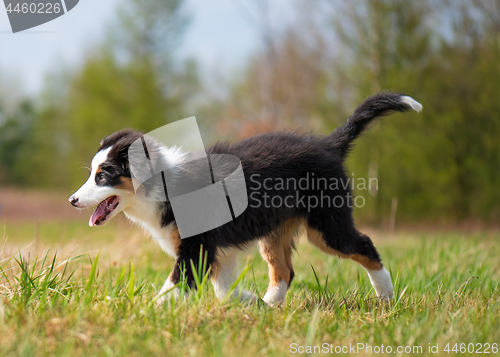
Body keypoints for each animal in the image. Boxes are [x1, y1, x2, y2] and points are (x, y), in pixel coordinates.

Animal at [69, 92, 422, 306]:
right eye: (92, 173)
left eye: (103, 176)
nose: (72, 200)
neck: (165, 185)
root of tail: (327, 144)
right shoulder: (214, 251)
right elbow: (223, 288)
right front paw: (247, 304)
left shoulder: (197, 248)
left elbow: (175, 285)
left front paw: (145, 312)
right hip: (275, 230)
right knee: (284, 271)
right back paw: (269, 305)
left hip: (326, 227)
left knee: (364, 244)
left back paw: (387, 297)